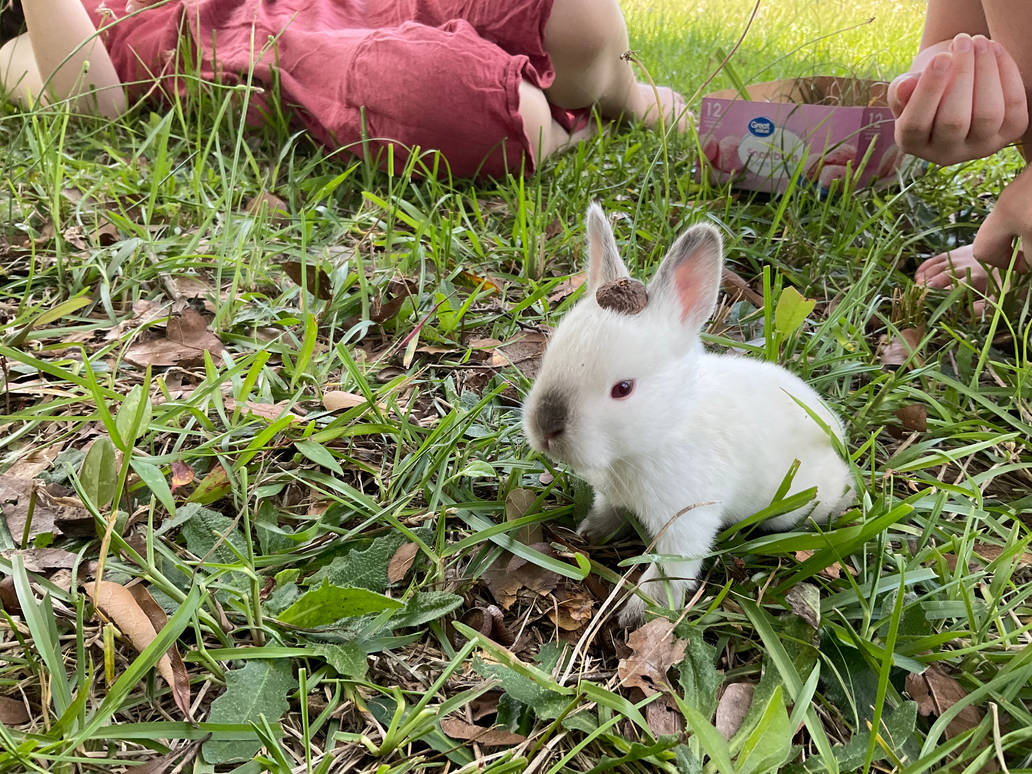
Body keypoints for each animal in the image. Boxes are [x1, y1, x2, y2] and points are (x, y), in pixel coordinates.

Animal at [523, 204, 853, 626]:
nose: (546, 428)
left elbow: (669, 569)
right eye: (550, 355)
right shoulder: (612, 497)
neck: (664, 430)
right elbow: (606, 513)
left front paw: (640, 613)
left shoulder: (688, 521)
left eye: (623, 388)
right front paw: (590, 533)